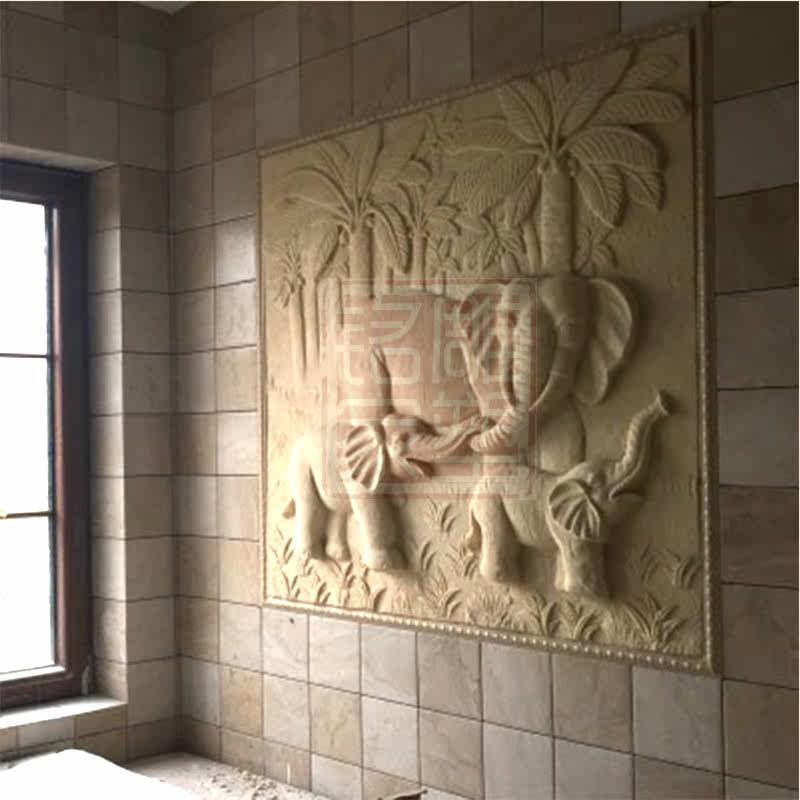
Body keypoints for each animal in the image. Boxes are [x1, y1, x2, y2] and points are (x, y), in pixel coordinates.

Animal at [466, 392, 671, 599]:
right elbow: (578, 552)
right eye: (599, 481)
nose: (663, 404)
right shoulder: (563, 525)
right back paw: (507, 580)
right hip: (490, 506)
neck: (569, 478)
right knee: (497, 537)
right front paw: (587, 594)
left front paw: (595, 593)